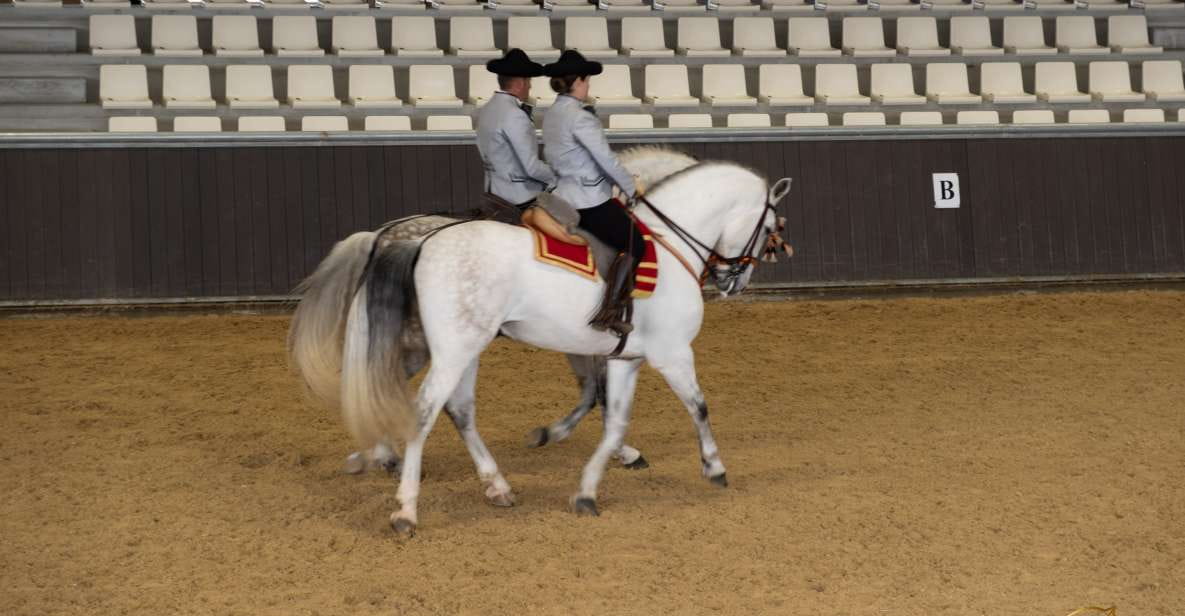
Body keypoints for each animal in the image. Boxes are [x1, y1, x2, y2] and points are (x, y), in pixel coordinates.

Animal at [289, 147, 700, 476]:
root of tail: (382, 235)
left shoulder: (584, 339)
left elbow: (591, 393)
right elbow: (597, 395)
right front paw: (622, 451)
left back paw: (376, 454)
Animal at [323, 160, 792, 535]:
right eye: (769, 229)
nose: (734, 282)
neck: (668, 245)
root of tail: (419, 241)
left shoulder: (625, 358)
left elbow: (612, 420)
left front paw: (586, 488)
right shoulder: (673, 353)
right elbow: (698, 406)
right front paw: (714, 467)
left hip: (461, 349)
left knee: (453, 408)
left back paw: (492, 485)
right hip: (450, 350)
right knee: (420, 411)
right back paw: (405, 508)